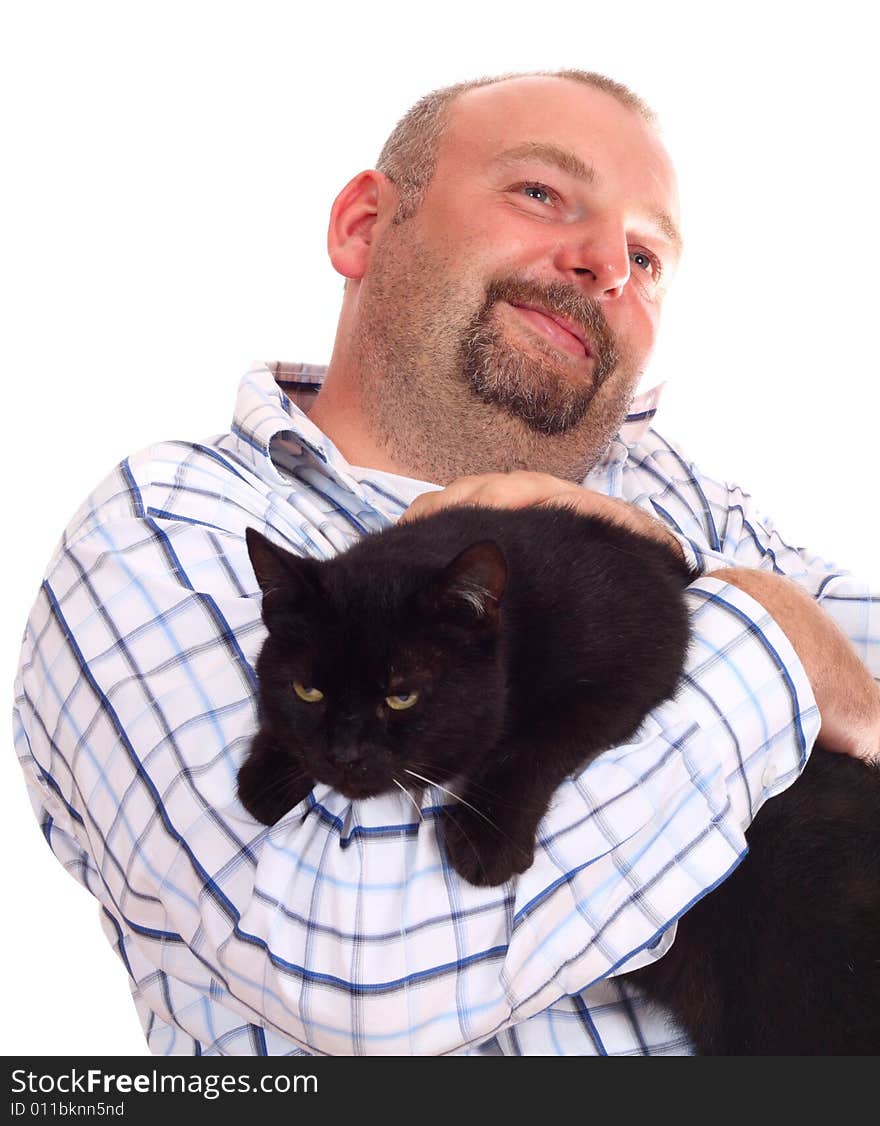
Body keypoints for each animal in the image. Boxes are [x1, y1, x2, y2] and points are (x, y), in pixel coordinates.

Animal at [236, 506, 880, 1049]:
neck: (521, 623)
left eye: (401, 695)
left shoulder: (639, 653)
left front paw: (487, 839)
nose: (343, 754)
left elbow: (533, 742)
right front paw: (267, 775)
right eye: (307, 689)